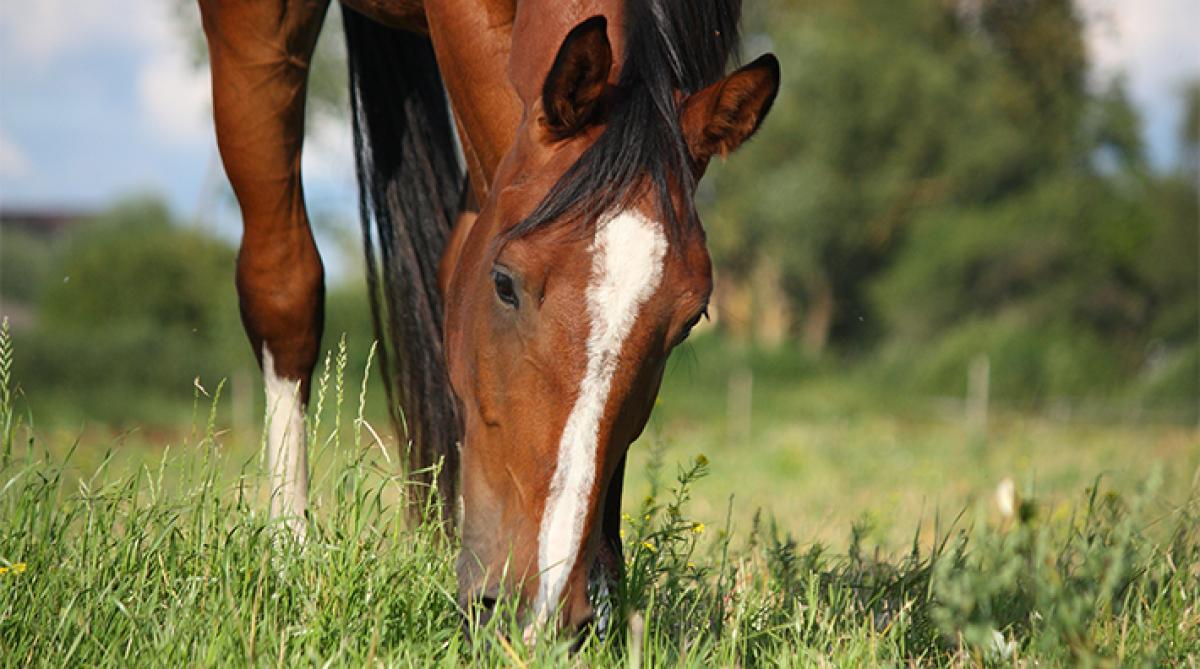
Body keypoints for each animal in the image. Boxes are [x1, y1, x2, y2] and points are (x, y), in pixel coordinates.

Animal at [199, 0, 778, 634]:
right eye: (504, 284)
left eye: (690, 320)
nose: (541, 608)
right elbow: (285, 288)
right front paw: (287, 558)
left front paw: (604, 593)